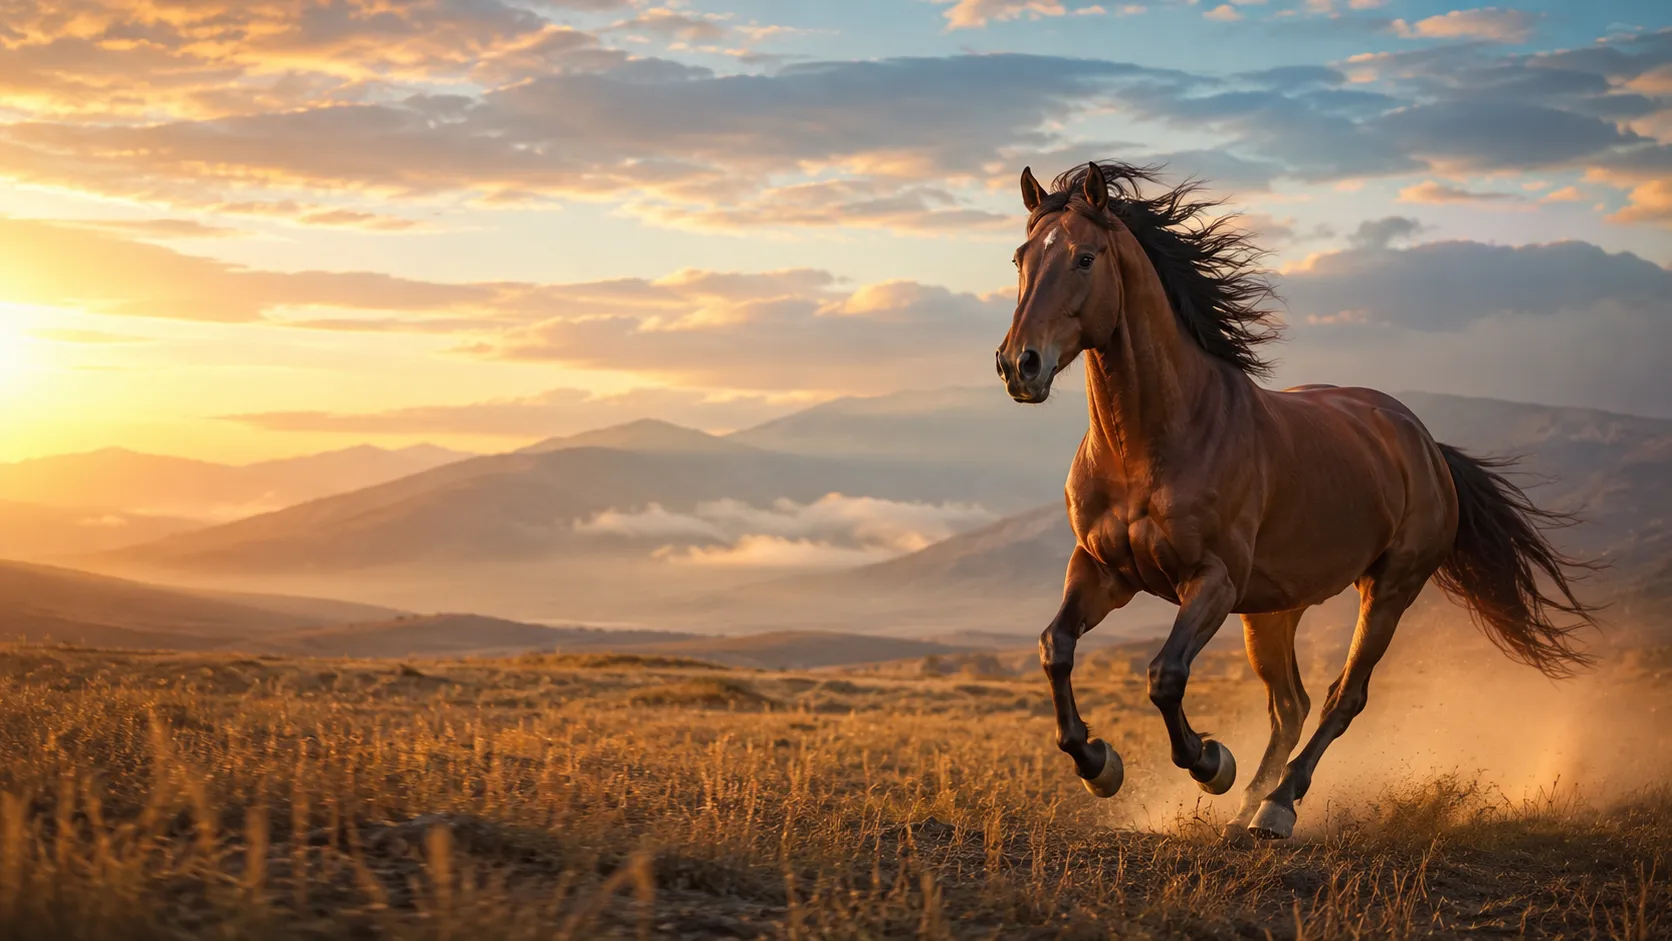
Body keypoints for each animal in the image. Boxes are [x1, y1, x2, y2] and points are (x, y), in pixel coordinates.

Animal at [994, 160, 1598, 840]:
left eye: (1085, 258)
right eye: (1020, 258)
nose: (1020, 365)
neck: (1152, 442)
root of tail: (1422, 442)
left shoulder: (1211, 581)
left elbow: (1165, 675)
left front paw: (1210, 762)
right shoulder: (1102, 570)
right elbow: (1055, 648)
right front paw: (1099, 765)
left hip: (1388, 589)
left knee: (1342, 697)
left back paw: (1277, 806)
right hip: (1273, 610)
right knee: (1291, 704)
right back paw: (1248, 808)